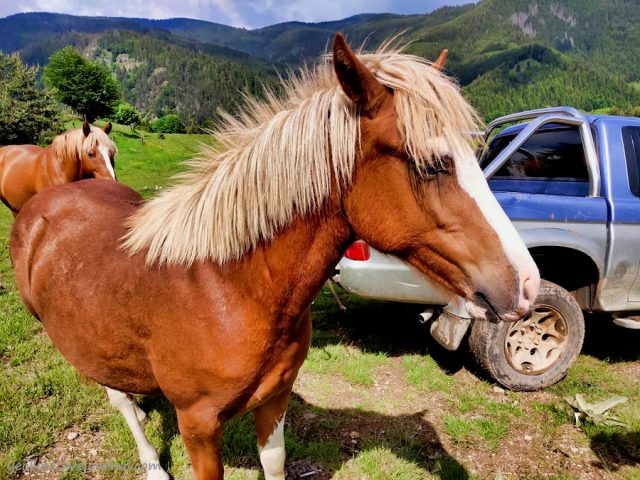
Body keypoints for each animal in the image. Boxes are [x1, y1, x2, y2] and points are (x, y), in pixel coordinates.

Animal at [9, 34, 539, 480]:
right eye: (431, 165)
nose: (527, 284)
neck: (232, 286)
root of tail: (46, 201)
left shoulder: (275, 400)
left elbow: (275, 461)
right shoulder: (198, 426)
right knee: (118, 400)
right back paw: (151, 462)